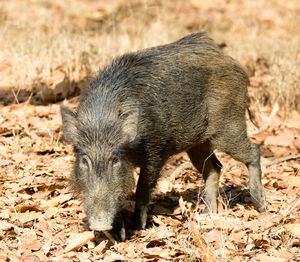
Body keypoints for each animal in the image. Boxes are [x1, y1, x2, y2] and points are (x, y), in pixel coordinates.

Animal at [61, 31, 268, 241]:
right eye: (84, 160)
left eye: (115, 159)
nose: (99, 224)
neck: (101, 120)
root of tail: (231, 60)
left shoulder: (155, 152)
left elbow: (142, 190)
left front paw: (137, 227)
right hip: (198, 144)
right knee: (215, 168)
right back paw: (207, 213)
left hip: (228, 127)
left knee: (254, 151)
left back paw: (261, 206)